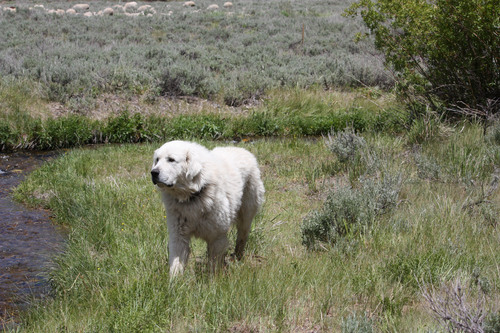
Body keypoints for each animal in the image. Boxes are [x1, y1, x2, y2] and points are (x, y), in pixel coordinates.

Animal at [149, 140, 264, 274]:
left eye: (171, 160)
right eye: (157, 160)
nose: (154, 172)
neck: (193, 195)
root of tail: (244, 151)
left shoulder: (217, 237)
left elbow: (214, 266)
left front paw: (214, 279)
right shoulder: (178, 235)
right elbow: (176, 264)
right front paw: (174, 280)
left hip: (246, 215)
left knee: (242, 237)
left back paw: (237, 258)